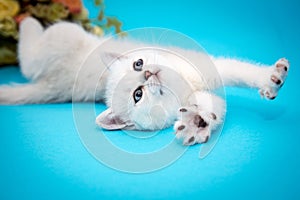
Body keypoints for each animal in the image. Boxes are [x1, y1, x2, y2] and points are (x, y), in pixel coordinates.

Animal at [0, 17, 290, 145]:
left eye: (137, 64)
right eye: (137, 95)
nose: (148, 72)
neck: (184, 85)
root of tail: (50, 85)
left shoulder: (208, 69)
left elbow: (237, 75)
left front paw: (270, 78)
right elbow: (215, 105)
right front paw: (195, 125)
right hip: (61, 37)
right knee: (29, 55)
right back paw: (25, 19)